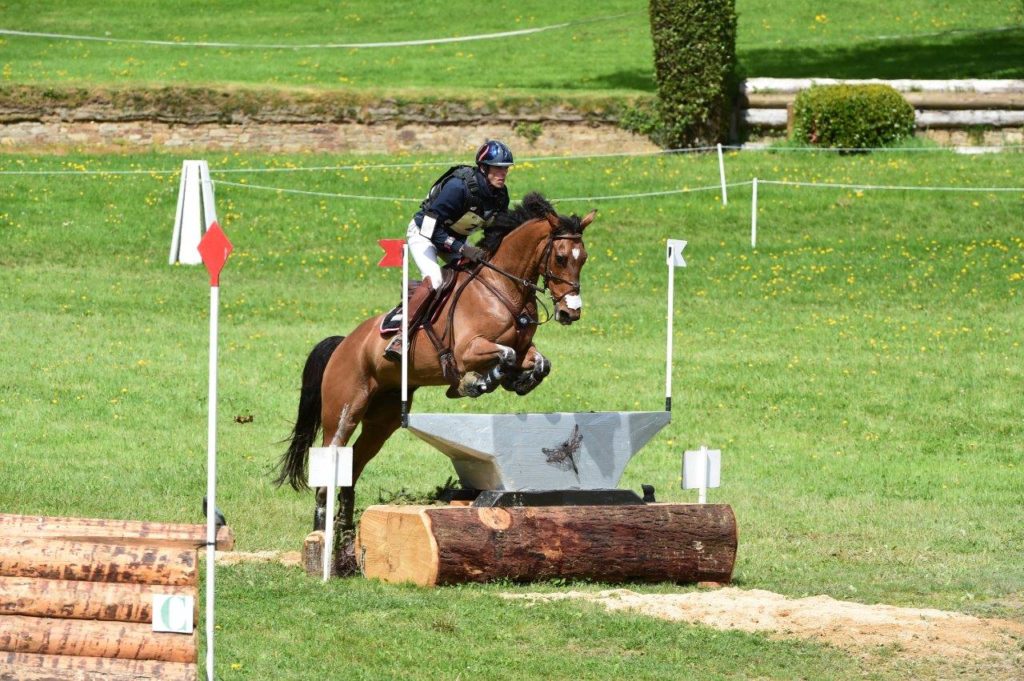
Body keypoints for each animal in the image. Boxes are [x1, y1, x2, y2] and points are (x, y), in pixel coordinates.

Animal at [274, 192, 593, 573]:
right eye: (560, 257)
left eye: (583, 258)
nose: (570, 312)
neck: (503, 289)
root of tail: (343, 344)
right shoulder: (467, 349)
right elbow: (502, 357)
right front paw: (473, 384)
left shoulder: (523, 348)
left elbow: (539, 362)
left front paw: (518, 382)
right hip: (344, 411)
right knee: (330, 462)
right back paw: (321, 538)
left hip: (382, 421)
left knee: (353, 468)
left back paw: (347, 542)